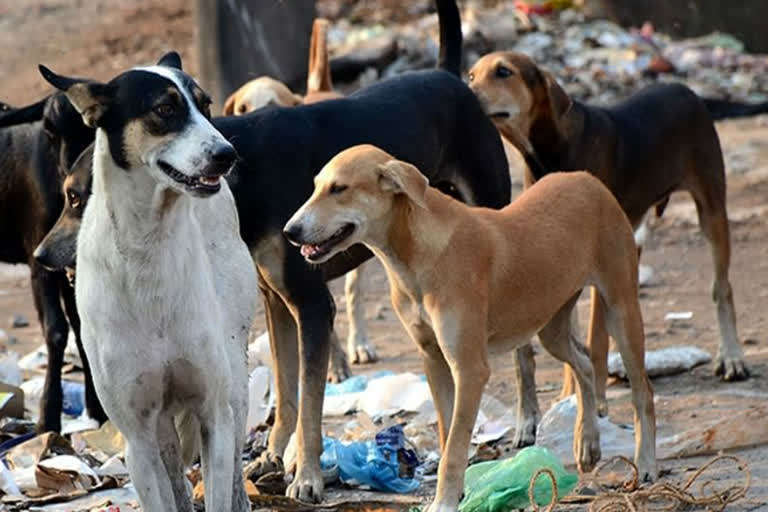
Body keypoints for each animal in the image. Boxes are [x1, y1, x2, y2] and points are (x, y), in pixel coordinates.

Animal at [0, 94, 104, 430]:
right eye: (48, 128)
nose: (71, 180)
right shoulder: (39, 260)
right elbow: (57, 331)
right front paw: (48, 417)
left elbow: (82, 326)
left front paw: (98, 409)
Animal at [41, 53, 258, 512]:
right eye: (165, 109)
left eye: (206, 106)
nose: (228, 154)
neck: (149, 246)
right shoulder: (138, 436)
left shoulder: (213, 413)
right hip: (159, 427)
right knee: (173, 470)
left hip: (233, 378)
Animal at [284, 144, 656, 512]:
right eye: (316, 186)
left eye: (339, 189)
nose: (289, 231)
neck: (415, 255)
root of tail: (587, 180)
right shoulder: (433, 359)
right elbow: (449, 433)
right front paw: (456, 493)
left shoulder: (470, 368)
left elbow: (455, 445)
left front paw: (445, 501)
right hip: (551, 326)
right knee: (585, 364)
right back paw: (587, 442)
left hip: (622, 310)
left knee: (643, 393)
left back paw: (646, 463)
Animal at [464, 50, 748, 446]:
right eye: (471, 74)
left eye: (503, 72)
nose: (463, 91)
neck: (550, 151)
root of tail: (683, 88)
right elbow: (573, 345)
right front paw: (569, 399)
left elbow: (594, 340)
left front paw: (594, 402)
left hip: (710, 209)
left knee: (721, 287)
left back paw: (732, 357)